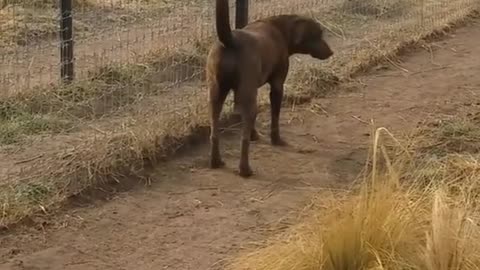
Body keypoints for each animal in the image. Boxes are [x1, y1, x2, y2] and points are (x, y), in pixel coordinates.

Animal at [206, 0, 334, 177]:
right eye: (317, 35)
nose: (331, 52)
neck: (281, 29)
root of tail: (229, 40)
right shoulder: (277, 85)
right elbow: (275, 116)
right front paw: (276, 140)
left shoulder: (248, 91)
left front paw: (254, 134)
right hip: (244, 95)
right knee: (243, 139)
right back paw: (245, 169)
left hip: (215, 94)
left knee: (214, 133)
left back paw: (215, 161)